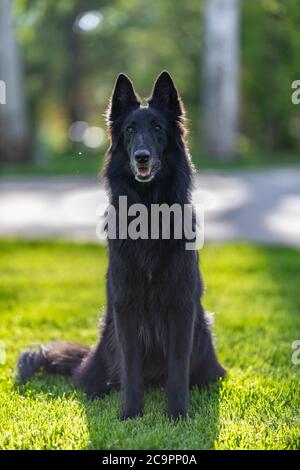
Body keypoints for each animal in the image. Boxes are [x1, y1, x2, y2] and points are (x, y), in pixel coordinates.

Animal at [18, 72, 225, 418]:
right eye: (129, 130)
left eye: (157, 129)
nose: (141, 156)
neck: (150, 213)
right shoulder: (125, 308)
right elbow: (130, 367)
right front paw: (130, 414)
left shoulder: (182, 307)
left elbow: (178, 367)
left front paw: (177, 415)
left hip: (203, 339)